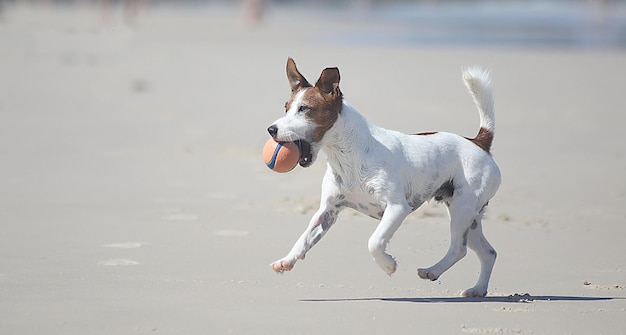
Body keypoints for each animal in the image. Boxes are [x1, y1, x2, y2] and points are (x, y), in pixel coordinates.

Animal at [266, 59, 500, 298]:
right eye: (286, 108)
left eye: (304, 109)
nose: (271, 129)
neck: (348, 155)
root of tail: (478, 141)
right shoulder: (327, 211)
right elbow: (304, 239)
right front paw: (286, 261)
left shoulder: (397, 207)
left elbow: (375, 241)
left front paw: (388, 265)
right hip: (470, 218)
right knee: (488, 253)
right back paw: (478, 289)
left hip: (462, 209)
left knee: (459, 249)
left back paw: (432, 271)